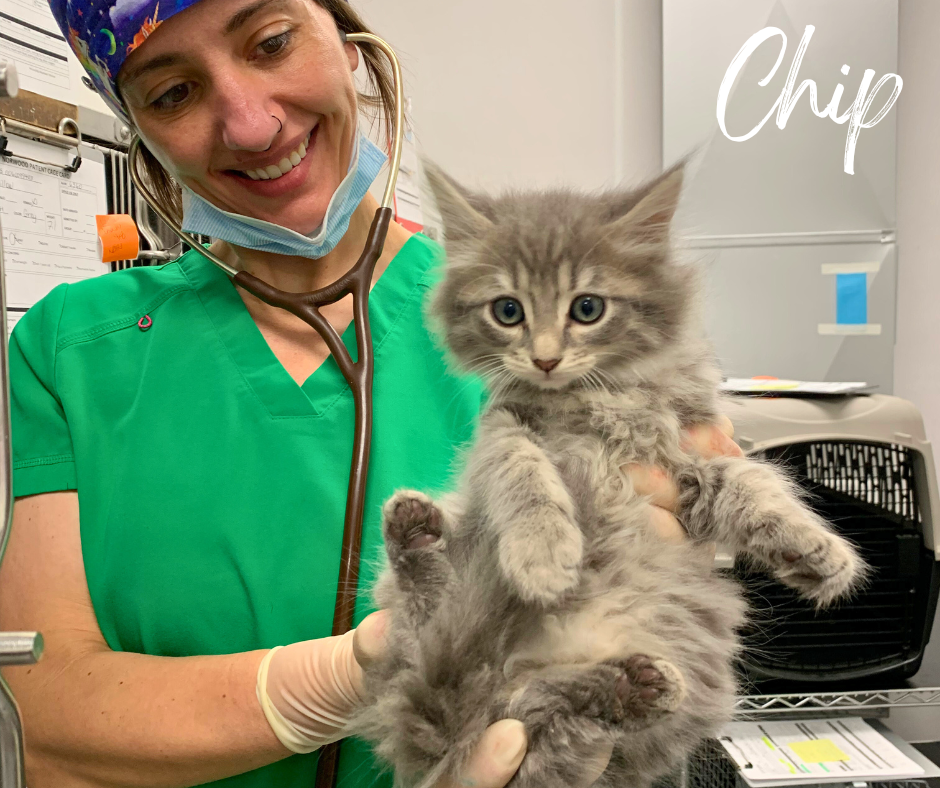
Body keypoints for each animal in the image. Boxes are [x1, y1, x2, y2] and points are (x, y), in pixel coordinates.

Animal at [352, 162, 868, 788]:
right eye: (508, 312)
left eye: (588, 309)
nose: (545, 358)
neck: (604, 399)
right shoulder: (502, 427)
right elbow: (523, 472)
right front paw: (544, 555)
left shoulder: (687, 458)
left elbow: (750, 483)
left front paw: (816, 551)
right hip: (442, 647)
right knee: (430, 630)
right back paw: (418, 538)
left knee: (547, 716)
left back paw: (633, 686)